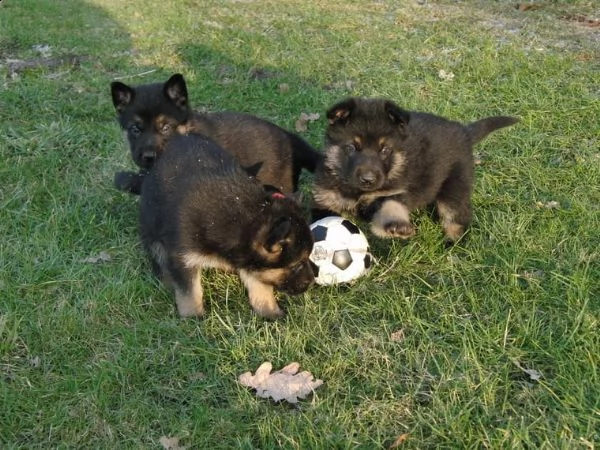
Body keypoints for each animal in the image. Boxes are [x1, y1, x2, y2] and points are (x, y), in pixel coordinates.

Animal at [139, 132, 316, 318]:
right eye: (296, 265)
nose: (311, 282)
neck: (249, 216)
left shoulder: (247, 257)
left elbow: (259, 284)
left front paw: (270, 311)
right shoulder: (183, 257)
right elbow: (189, 292)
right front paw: (193, 318)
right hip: (150, 225)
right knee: (157, 253)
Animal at [312, 96, 516, 243]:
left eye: (385, 150)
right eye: (351, 147)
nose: (368, 180)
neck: (357, 192)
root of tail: (463, 131)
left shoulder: (391, 193)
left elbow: (390, 207)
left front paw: (396, 226)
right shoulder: (325, 201)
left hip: (455, 185)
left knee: (457, 216)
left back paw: (453, 244)